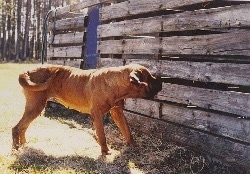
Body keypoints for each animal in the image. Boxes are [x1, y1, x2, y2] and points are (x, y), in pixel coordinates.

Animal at [12, 63, 162, 154]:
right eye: (149, 77)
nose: (161, 80)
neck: (116, 84)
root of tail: (26, 71)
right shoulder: (97, 115)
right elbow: (102, 135)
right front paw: (105, 152)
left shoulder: (117, 113)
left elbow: (127, 131)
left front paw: (133, 146)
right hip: (36, 106)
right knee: (17, 128)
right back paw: (16, 149)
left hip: (35, 108)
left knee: (23, 127)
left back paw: (24, 145)